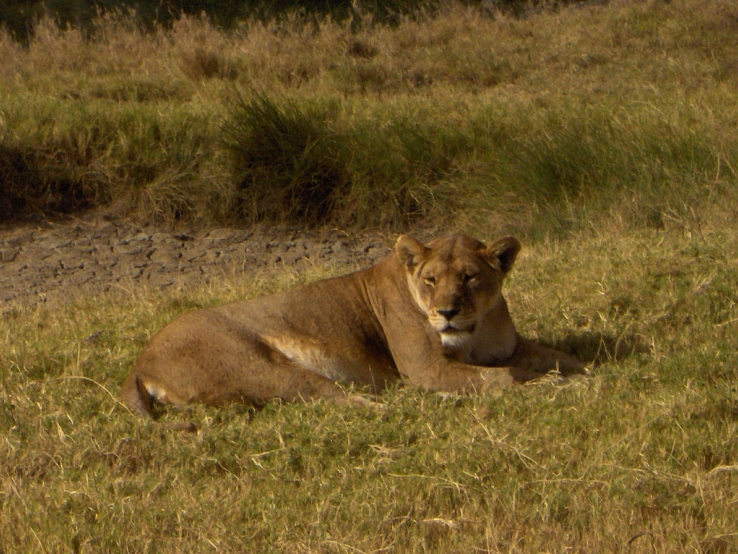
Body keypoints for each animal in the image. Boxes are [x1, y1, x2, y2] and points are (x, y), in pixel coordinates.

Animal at [121, 234, 584, 418]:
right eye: (431, 280)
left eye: (469, 277)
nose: (447, 312)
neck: (477, 326)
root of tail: (141, 361)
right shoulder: (426, 369)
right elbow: (502, 377)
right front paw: (548, 383)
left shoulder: (508, 344)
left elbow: (551, 354)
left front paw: (579, 368)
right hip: (263, 365)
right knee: (339, 400)